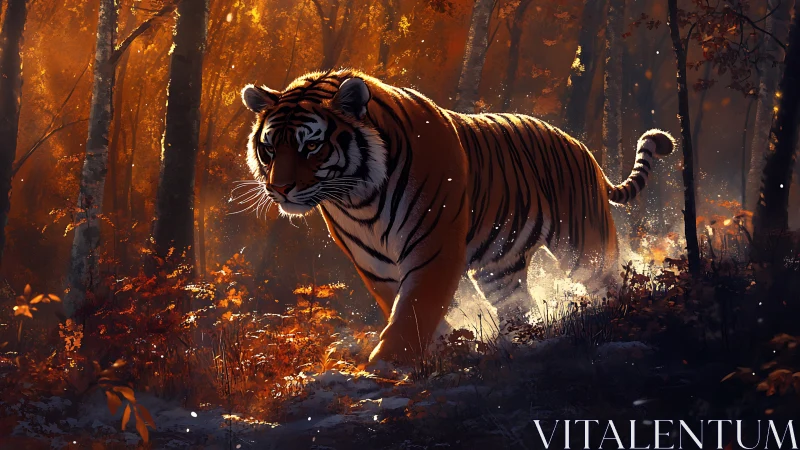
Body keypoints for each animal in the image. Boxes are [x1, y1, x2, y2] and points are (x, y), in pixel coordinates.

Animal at [239, 69, 674, 364]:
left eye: (311, 146)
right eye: (269, 148)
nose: (279, 189)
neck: (358, 198)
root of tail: (582, 147)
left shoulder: (434, 246)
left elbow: (417, 304)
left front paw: (390, 362)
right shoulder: (373, 264)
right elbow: (399, 304)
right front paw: (442, 347)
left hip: (583, 243)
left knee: (610, 277)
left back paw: (621, 314)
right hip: (500, 268)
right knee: (518, 303)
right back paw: (518, 340)